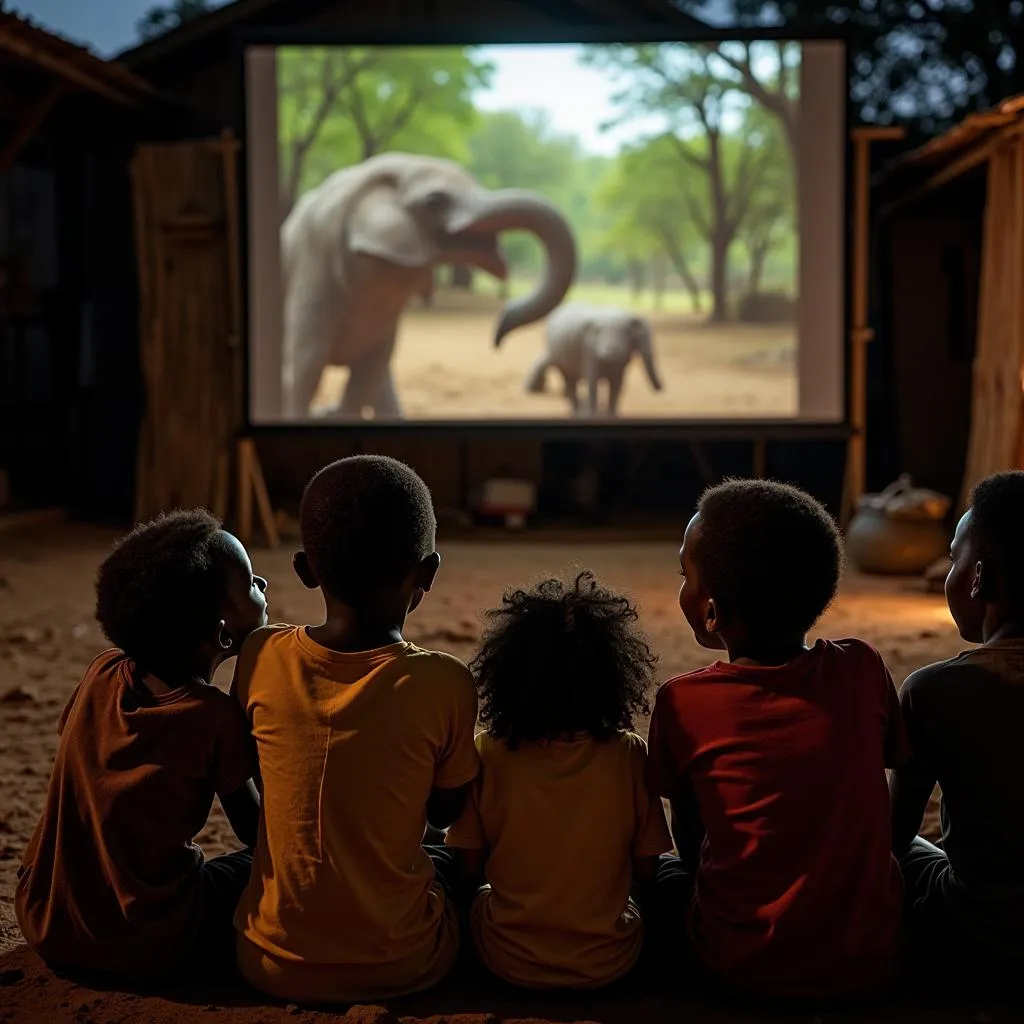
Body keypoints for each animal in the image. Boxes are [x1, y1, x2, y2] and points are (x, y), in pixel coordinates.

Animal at [520, 301, 663, 417]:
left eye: (630, 333)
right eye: (635, 333)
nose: (660, 389)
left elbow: (617, 384)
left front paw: (612, 415)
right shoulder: (588, 348)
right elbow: (592, 381)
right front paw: (591, 415)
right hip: (557, 353)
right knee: (569, 380)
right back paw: (575, 412)